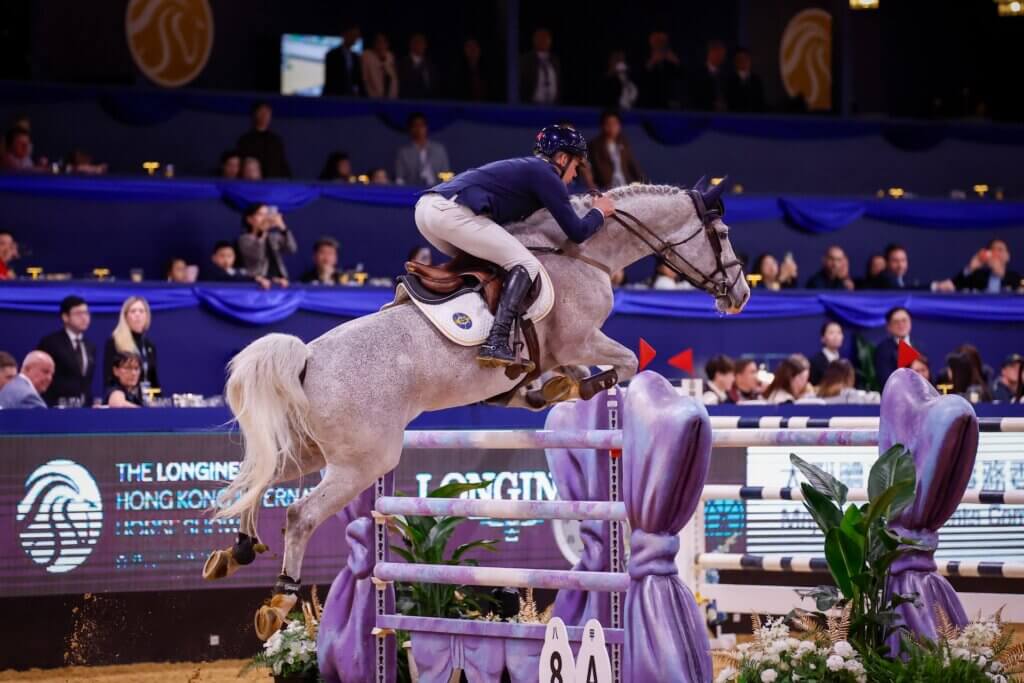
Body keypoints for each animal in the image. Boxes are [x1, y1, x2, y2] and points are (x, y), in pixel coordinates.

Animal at [206, 179, 750, 638]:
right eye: (722, 234)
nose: (741, 294)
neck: (583, 254)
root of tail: (307, 359)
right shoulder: (579, 339)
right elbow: (626, 362)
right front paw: (580, 388)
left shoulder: (560, 351)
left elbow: (564, 375)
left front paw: (542, 392)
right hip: (364, 462)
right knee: (298, 514)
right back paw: (279, 600)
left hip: (312, 451)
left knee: (256, 479)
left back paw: (236, 552)